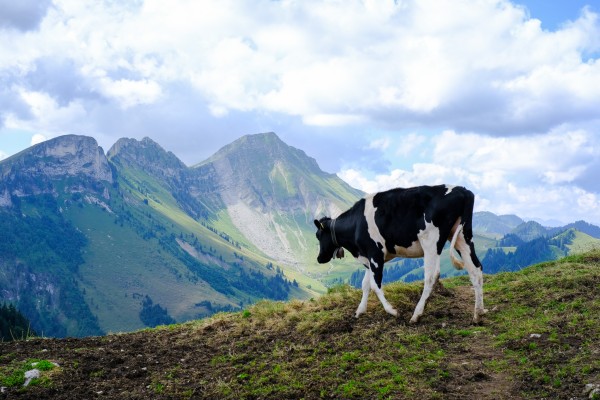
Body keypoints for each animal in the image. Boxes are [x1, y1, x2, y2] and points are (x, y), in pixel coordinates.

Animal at [314, 184, 488, 324]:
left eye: (318, 235)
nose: (319, 258)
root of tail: (463, 190)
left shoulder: (375, 254)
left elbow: (375, 285)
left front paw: (392, 311)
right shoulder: (368, 258)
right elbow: (365, 284)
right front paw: (359, 311)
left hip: (431, 240)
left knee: (432, 276)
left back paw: (416, 315)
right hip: (462, 236)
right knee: (475, 269)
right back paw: (478, 314)